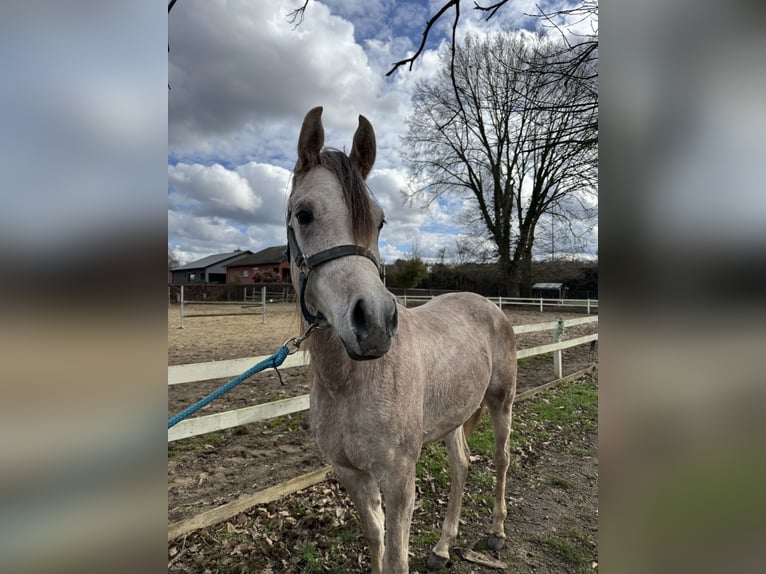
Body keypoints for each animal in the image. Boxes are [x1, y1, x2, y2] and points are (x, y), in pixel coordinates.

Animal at [286, 106, 517, 573]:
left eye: (379, 221)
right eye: (303, 214)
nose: (374, 322)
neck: (349, 382)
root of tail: (490, 306)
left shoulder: (399, 477)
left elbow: (395, 556)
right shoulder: (352, 474)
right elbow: (376, 538)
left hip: (501, 402)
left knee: (501, 460)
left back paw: (498, 533)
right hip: (453, 417)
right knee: (461, 466)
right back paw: (443, 547)